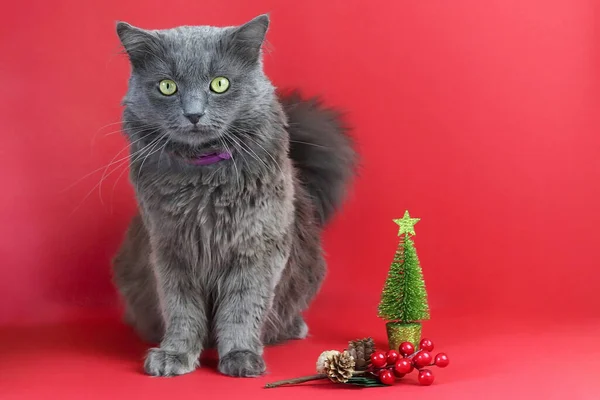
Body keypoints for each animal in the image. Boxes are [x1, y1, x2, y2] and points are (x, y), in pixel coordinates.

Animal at [112, 14, 354, 378]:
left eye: (220, 84)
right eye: (167, 86)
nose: (194, 114)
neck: (203, 180)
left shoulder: (257, 249)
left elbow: (241, 308)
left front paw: (241, 355)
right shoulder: (170, 250)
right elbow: (181, 309)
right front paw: (174, 355)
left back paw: (293, 328)